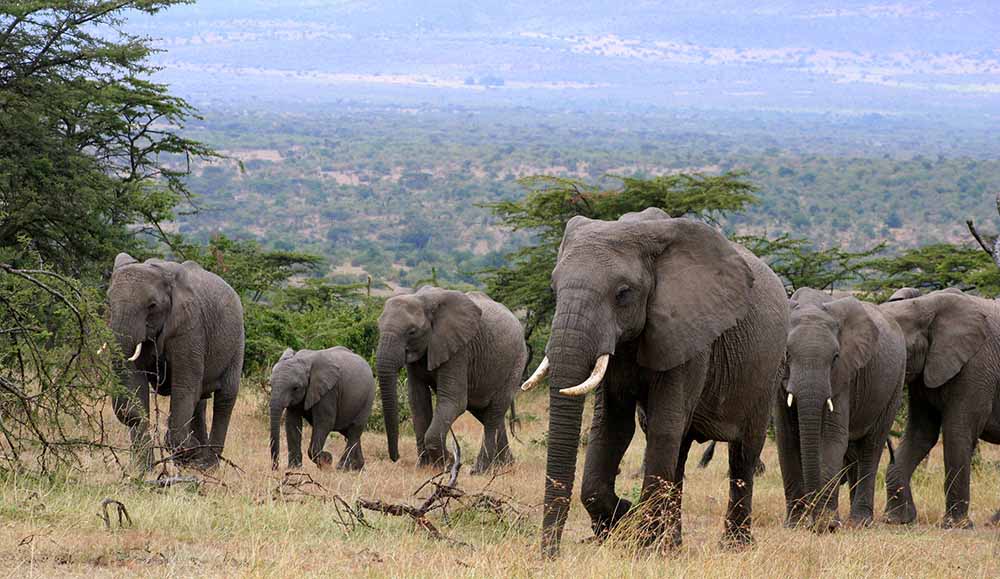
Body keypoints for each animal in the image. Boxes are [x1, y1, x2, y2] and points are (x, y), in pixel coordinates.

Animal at [108, 254, 244, 472]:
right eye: (109, 302)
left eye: (152, 305)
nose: (126, 414)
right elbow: (136, 381)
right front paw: (143, 470)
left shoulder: (190, 327)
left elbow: (183, 386)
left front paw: (189, 452)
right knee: (200, 401)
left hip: (237, 340)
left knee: (224, 398)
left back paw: (207, 465)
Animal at [376, 286, 532, 476]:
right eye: (378, 327)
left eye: (412, 332)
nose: (395, 457)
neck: (422, 299)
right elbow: (418, 400)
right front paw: (425, 467)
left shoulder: (459, 349)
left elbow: (454, 401)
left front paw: (449, 462)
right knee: (486, 413)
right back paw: (506, 465)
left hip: (516, 361)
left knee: (494, 413)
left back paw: (480, 470)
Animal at [516, 208, 788, 556]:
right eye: (553, 289)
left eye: (623, 293)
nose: (550, 555)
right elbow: (612, 426)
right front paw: (623, 516)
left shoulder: (689, 334)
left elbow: (663, 425)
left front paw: (640, 543)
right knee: (680, 454)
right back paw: (672, 545)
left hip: (768, 368)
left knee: (743, 452)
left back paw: (733, 546)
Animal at [776, 288, 912, 532]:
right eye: (787, 354)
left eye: (835, 358)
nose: (813, 521)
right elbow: (787, 439)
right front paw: (794, 525)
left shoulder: (844, 376)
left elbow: (831, 439)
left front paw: (827, 524)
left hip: (895, 383)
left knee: (871, 448)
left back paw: (860, 522)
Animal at [880, 292, 1000, 528]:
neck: (924, 306)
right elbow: (921, 434)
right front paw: (897, 520)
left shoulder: (975, 365)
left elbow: (957, 432)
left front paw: (955, 526)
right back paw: (993, 523)